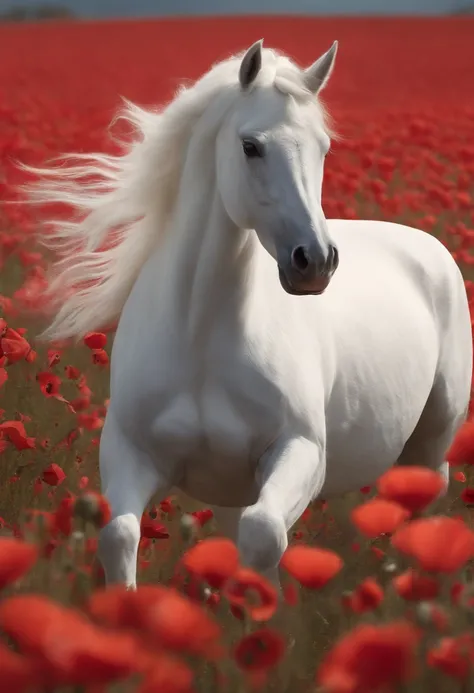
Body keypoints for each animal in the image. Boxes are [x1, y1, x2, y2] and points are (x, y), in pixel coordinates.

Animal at [27, 40, 472, 588]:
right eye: (250, 146)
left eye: (324, 147)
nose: (315, 261)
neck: (200, 342)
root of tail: (428, 245)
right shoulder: (131, 454)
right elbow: (120, 535)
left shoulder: (301, 450)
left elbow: (264, 536)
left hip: (433, 445)